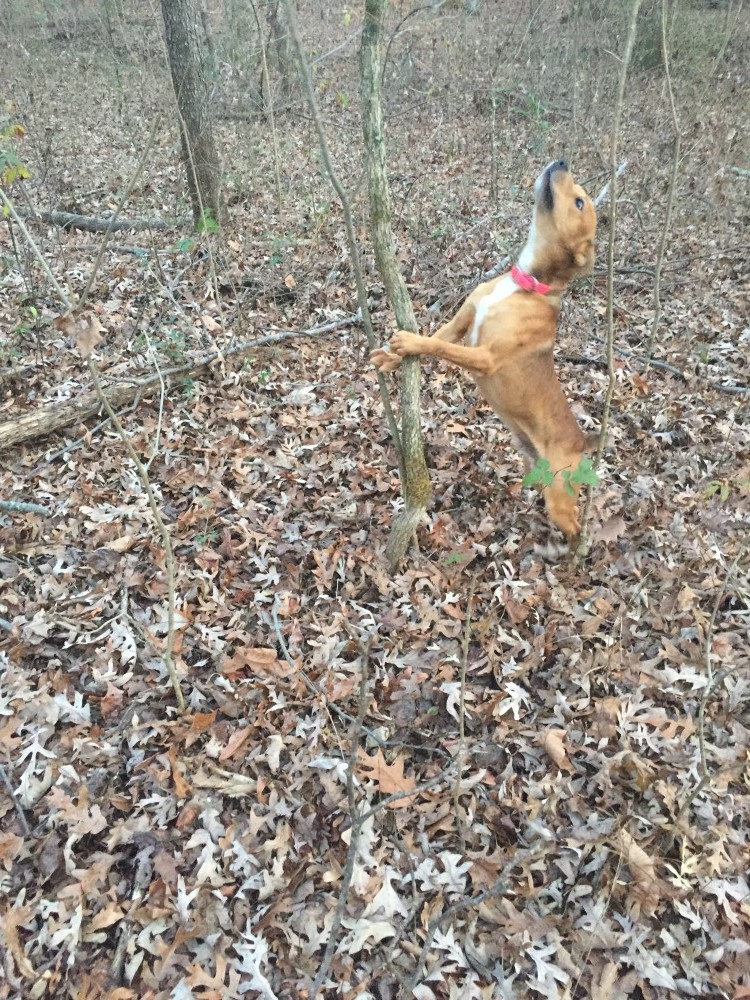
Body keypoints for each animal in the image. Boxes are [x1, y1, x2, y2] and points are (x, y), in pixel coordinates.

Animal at [372, 159, 600, 544]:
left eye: (579, 202)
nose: (562, 161)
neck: (525, 286)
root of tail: (581, 441)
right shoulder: (460, 323)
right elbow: (434, 336)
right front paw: (390, 357)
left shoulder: (486, 357)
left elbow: (437, 344)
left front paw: (406, 344)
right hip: (535, 471)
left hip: (559, 495)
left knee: (575, 527)